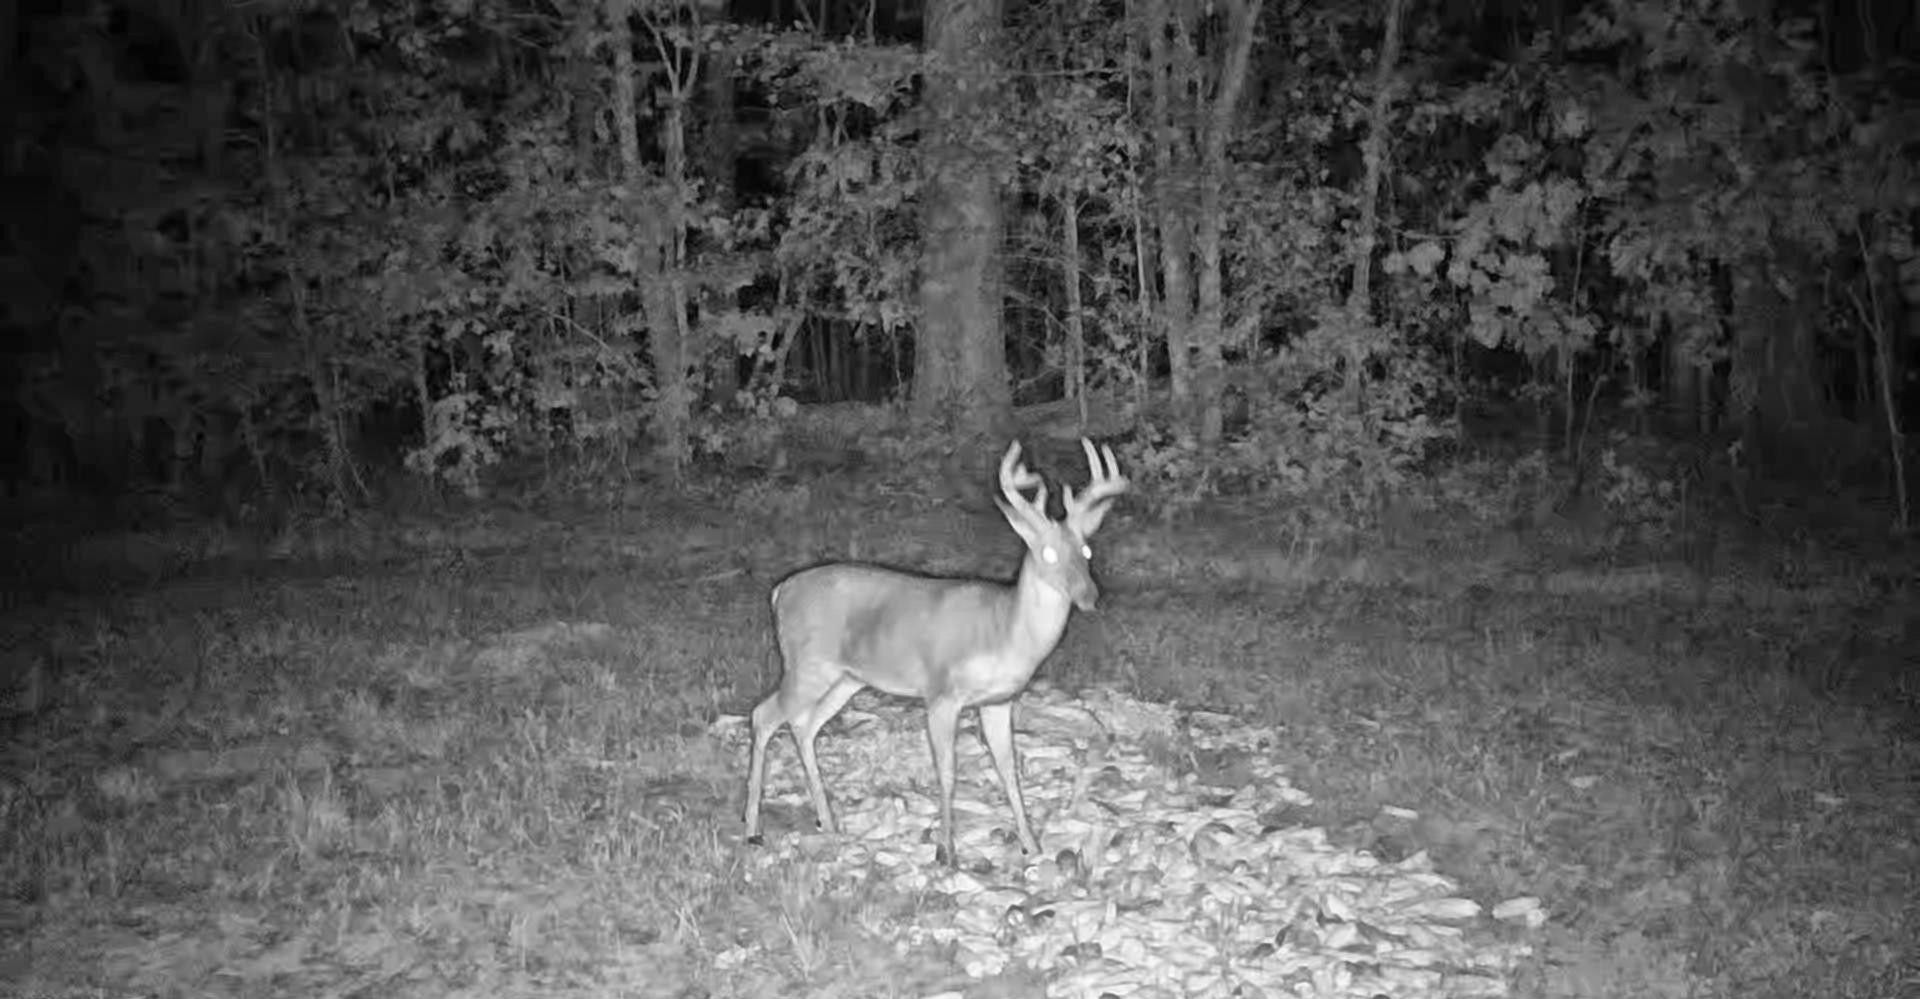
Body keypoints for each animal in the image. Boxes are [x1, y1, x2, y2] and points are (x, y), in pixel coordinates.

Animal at [743, 438, 1129, 868]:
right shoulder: (942, 693)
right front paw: (946, 850)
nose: (1089, 596)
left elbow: (1009, 771)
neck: (1005, 631)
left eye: (1087, 551)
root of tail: (780, 592)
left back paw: (826, 821)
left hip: (846, 679)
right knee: (764, 715)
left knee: (804, 724)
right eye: (1046, 553)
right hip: (808, 664)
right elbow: (947, 771)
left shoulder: (999, 701)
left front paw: (1032, 844)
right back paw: (753, 829)